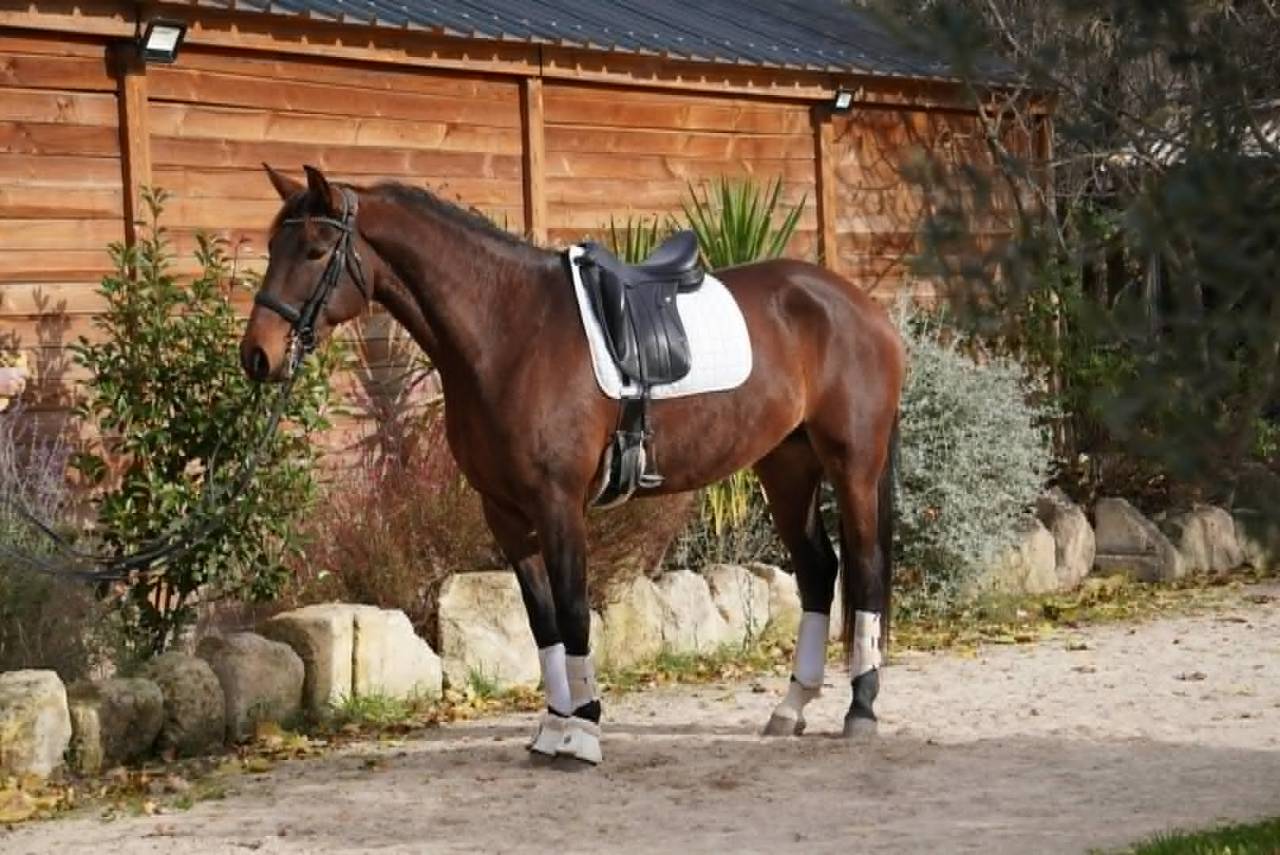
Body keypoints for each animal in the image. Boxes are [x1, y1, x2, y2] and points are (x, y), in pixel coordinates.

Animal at [240, 165, 905, 764]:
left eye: (316, 249)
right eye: (273, 246)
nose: (257, 356)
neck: (509, 332)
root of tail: (859, 305)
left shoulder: (558, 504)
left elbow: (575, 611)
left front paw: (583, 732)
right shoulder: (506, 514)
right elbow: (544, 623)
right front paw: (553, 729)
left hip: (853, 465)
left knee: (865, 568)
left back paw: (861, 710)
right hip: (786, 468)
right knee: (818, 570)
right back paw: (791, 708)